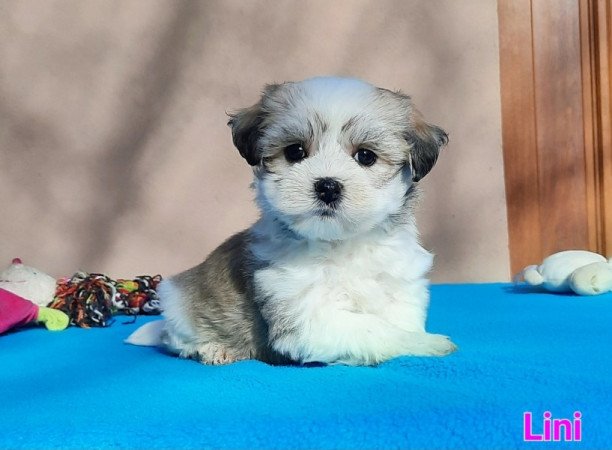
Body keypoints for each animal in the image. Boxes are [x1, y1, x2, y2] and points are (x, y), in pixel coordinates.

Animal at [128, 76, 454, 366]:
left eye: (365, 156)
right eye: (295, 151)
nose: (327, 186)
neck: (341, 244)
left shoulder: (400, 286)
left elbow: (399, 320)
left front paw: (418, 337)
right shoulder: (308, 313)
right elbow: (376, 329)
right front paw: (429, 343)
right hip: (179, 305)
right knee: (176, 341)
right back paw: (214, 348)